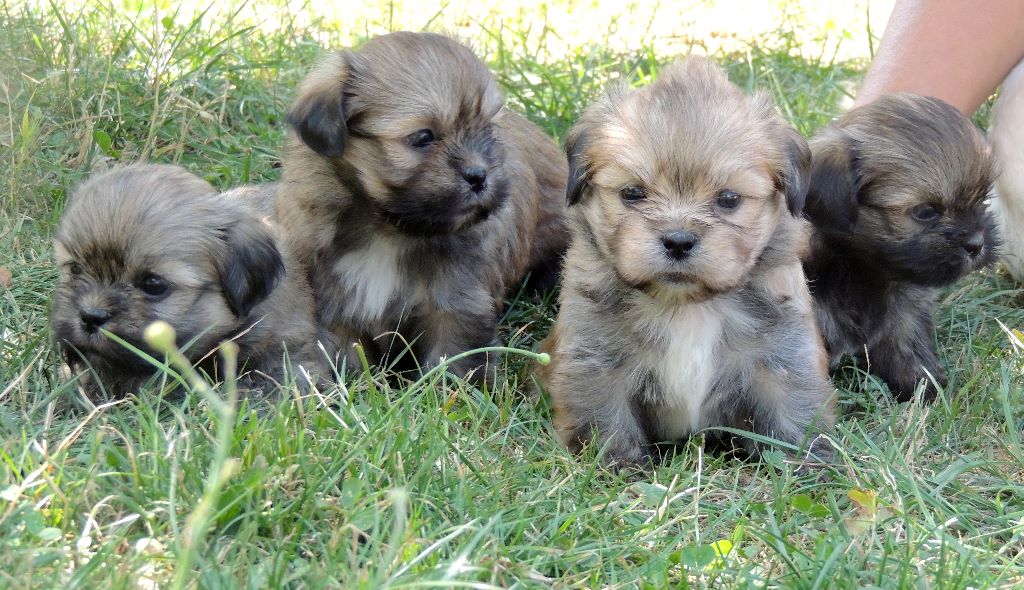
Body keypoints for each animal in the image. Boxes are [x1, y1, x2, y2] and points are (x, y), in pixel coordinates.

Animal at [540, 57, 835, 467]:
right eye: (633, 193)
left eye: (728, 199)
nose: (678, 241)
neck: (687, 307)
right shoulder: (595, 361)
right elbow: (606, 421)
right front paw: (618, 469)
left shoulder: (783, 357)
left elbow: (794, 413)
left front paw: (807, 467)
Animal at [802, 94, 995, 403]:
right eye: (925, 211)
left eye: (984, 200)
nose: (977, 244)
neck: (860, 270)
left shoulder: (906, 313)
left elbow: (909, 350)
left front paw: (925, 389)